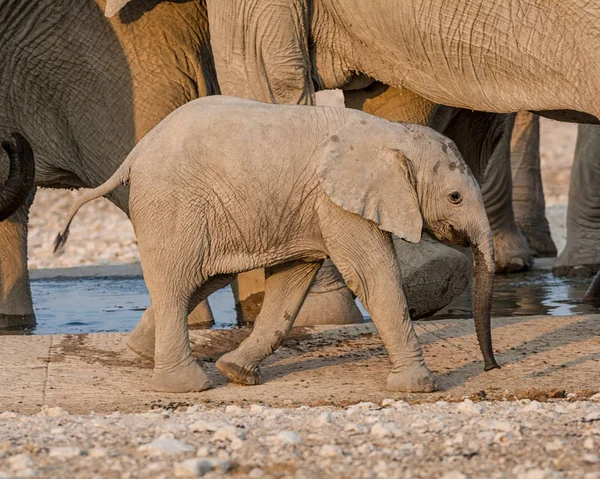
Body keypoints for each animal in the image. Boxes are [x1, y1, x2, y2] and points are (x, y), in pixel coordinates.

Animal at [56, 95, 500, 396]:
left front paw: (236, 373)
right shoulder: (336, 201)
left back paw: (142, 353)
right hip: (173, 204)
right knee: (177, 283)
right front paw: (419, 387)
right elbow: (372, 276)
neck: (393, 132)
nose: (491, 368)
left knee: (201, 279)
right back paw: (186, 386)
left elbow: (291, 284)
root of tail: (133, 155)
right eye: (455, 197)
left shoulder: (310, 207)